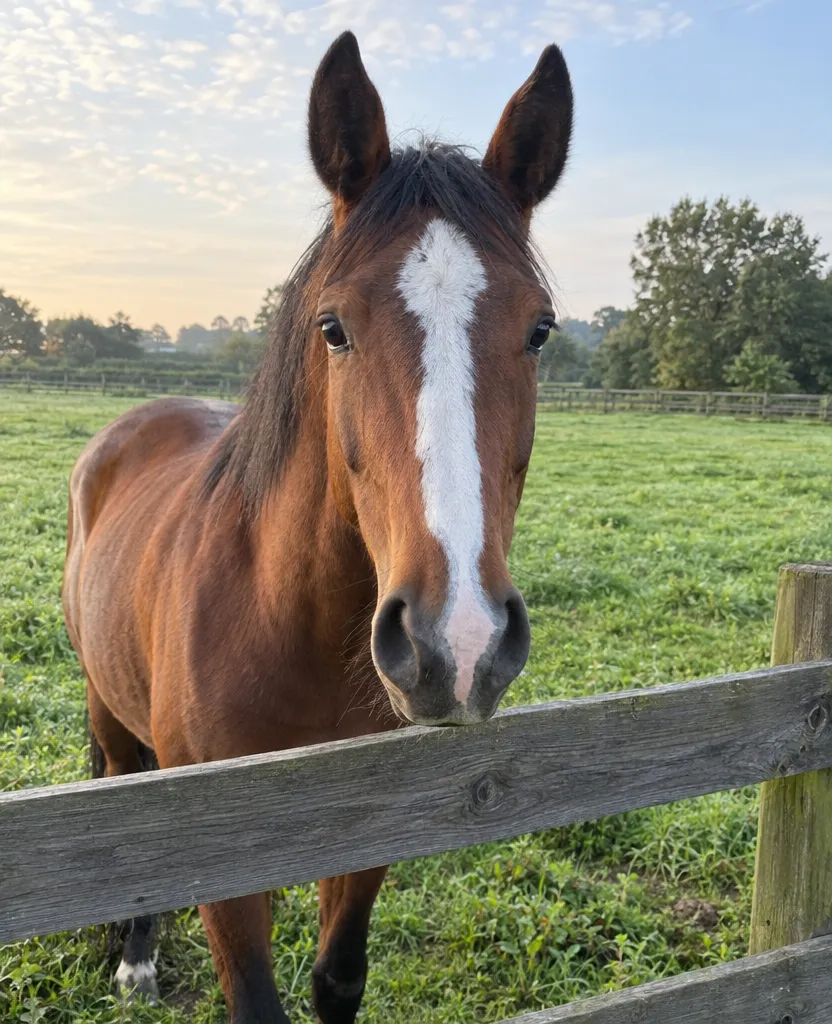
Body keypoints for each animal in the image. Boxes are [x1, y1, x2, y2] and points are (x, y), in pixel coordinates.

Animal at [62, 30, 573, 1024]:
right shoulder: (227, 861)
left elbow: (338, 978)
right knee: (120, 784)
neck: (285, 617)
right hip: (110, 707)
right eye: (333, 327)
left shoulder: (364, 830)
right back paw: (135, 952)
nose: (458, 642)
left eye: (540, 330)